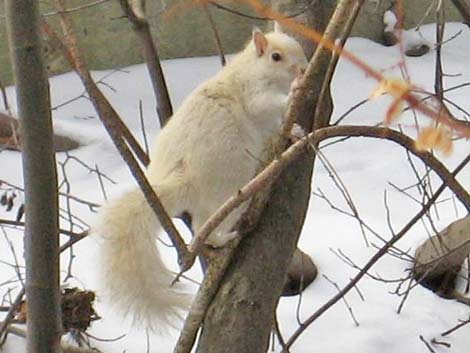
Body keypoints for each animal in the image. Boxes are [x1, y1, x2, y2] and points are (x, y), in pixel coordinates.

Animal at [94, 28, 308, 328]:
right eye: (276, 57)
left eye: (299, 47)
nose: (303, 68)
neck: (251, 69)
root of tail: (185, 183)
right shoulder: (253, 94)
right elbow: (265, 105)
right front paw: (296, 90)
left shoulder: (270, 124)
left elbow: (279, 128)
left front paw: (297, 131)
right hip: (230, 188)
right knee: (201, 226)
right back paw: (225, 238)